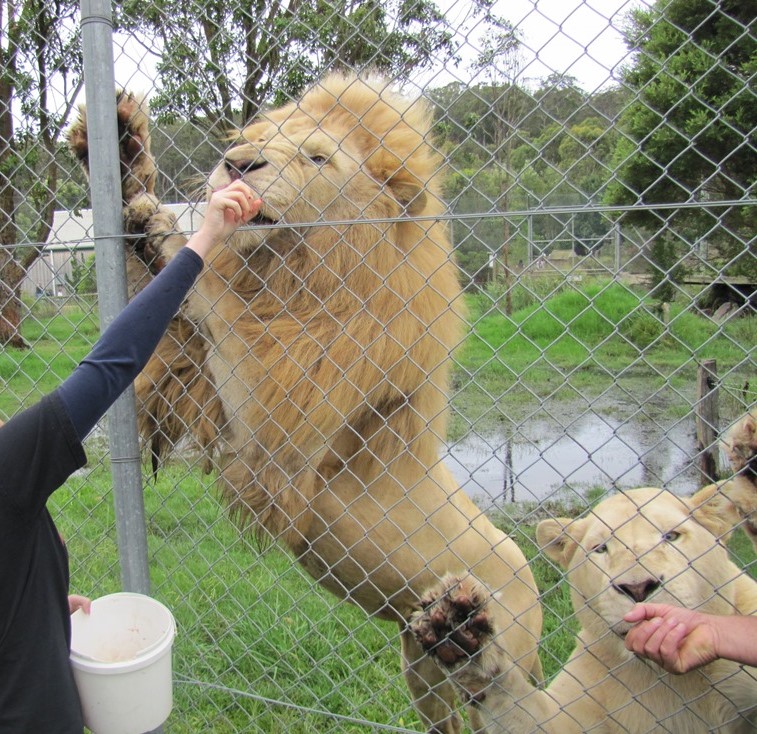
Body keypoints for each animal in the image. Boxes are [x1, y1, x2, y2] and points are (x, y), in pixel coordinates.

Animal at [68, 74, 542, 732]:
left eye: (317, 157)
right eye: (254, 139)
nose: (236, 163)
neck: (291, 275)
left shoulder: (277, 418)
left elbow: (219, 299)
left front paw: (179, 231)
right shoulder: (192, 380)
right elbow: (157, 312)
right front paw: (123, 158)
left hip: (513, 643)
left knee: (510, 692)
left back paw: (472, 633)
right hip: (416, 665)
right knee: (444, 709)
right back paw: (449, 630)